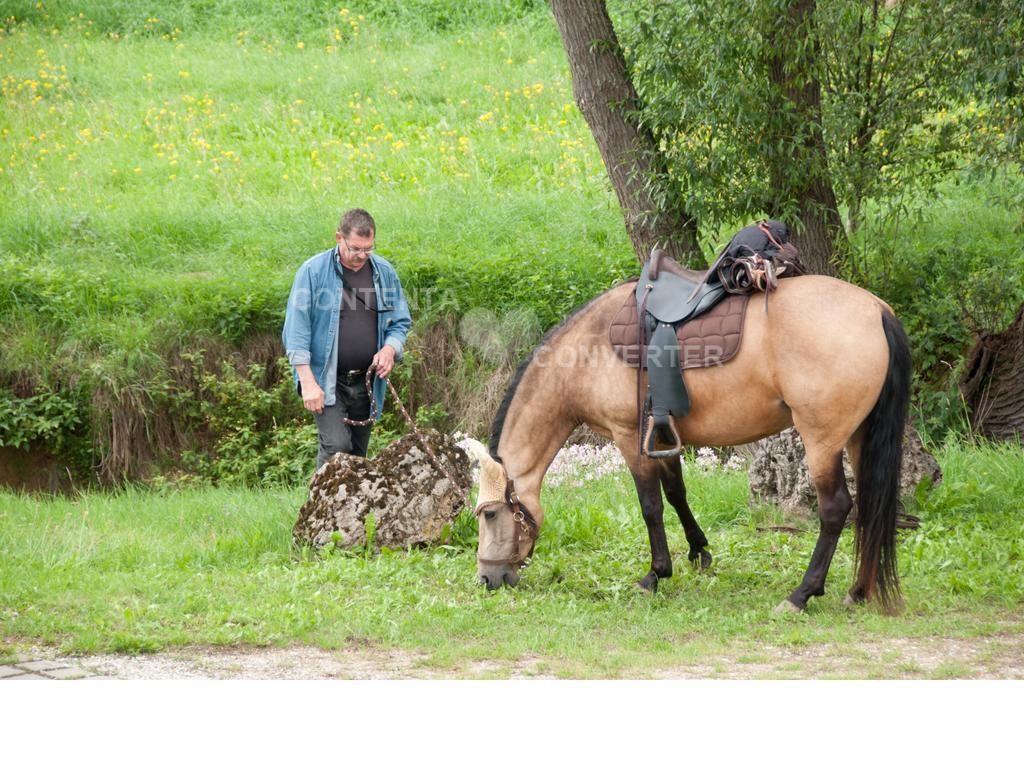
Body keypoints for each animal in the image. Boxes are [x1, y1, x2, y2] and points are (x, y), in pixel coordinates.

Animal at [468, 274, 909, 618]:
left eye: (489, 514)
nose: (488, 578)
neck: (587, 352)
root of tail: (876, 310)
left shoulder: (630, 438)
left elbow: (651, 506)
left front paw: (655, 574)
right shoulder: (663, 436)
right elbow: (676, 493)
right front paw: (698, 551)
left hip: (821, 441)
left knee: (836, 510)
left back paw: (802, 594)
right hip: (858, 437)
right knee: (869, 507)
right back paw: (858, 591)